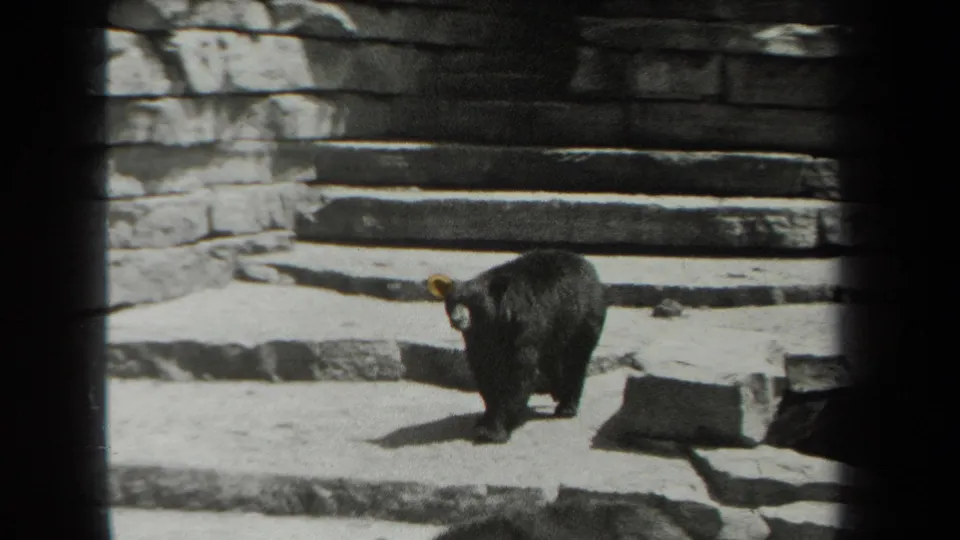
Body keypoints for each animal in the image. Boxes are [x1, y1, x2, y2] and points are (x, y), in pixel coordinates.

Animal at [426, 249, 608, 444]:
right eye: (452, 302)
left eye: (474, 304)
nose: (458, 320)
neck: (493, 324)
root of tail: (585, 263)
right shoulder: (480, 339)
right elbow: (484, 370)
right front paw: (486, 419)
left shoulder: (522, 329)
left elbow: (517, 373)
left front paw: (495, 429)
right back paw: (557, 392)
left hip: (581, 317)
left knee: (574, 360)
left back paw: (567, 407)